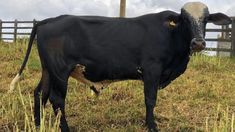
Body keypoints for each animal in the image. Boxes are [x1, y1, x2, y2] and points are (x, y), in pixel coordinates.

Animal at [9, 1, 231, 131]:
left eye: (206, 19)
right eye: (184, 19)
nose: (198, 43)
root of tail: (49, 20)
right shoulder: (152, 70)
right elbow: (150, 100)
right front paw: (152, 126)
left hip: (48, 70)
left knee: (40, 93)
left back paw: (38, 124)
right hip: (60, 71)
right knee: (57, 99)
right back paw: (65, 128)